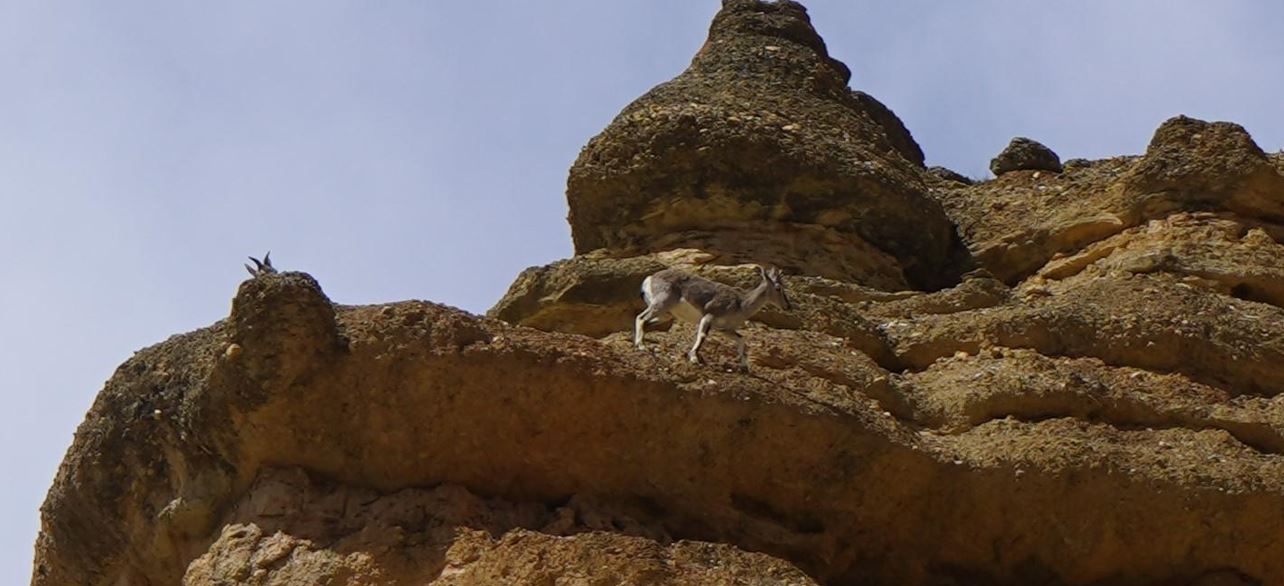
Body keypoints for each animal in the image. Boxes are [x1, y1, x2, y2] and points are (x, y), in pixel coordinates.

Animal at [634, 266, 785, 370]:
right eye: (778, 288)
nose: (787, 306)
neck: (740, 304)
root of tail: (650, 278)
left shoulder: (723, 329)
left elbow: (741, 339)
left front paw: (745, 367)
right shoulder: (708, 317)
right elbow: (702, 336)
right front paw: (694, 358)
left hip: (666, 315)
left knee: (646, 322)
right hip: (660, 305)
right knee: (641, 317)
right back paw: (640, 345)